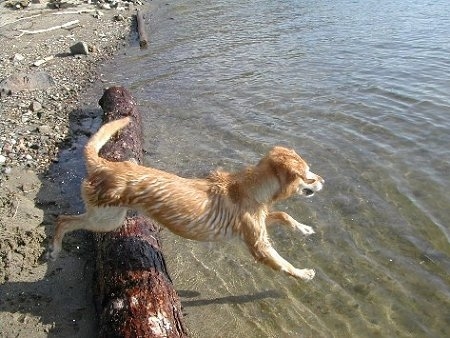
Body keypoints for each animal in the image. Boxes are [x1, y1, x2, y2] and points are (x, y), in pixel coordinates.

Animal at [48, 117, 324, 282]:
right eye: (308, 175)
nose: (323, 180)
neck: (252, 189)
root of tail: (105, 165)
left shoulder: (260, 221)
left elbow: (284, 215)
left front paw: (304, 228)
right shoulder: (259, 245)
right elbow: (283, 264)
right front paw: (303, 273)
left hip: (108, 217)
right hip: (106, 220)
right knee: (63, 220)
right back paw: (55, 249)